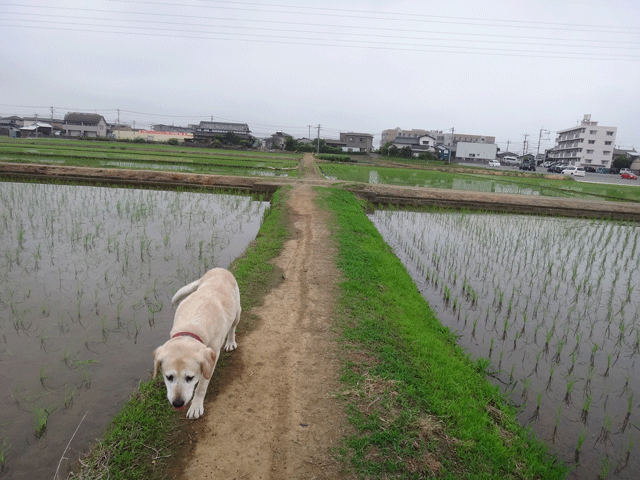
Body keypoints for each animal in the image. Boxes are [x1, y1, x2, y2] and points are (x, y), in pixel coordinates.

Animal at [154, 268, 241, 418]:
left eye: (190, 377)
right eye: (169, 377)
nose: (177, 403)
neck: (191, 328)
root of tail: (219, 269)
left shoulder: (211, 359)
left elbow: (201, 386)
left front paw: (196, 406)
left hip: (237, 313)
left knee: (232, 328)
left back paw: (230, 341)